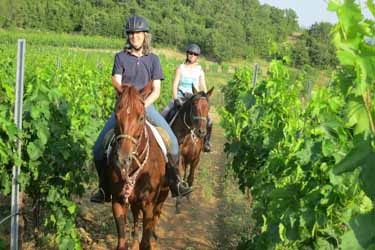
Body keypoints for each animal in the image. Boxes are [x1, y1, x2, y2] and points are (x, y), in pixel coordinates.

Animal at [106, 81, 170, 248]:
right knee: (135, 216)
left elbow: (145, 242)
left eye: (141, 118)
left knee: (157, 214)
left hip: (162, 193)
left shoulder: (148, 205)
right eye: (116, 115)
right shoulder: (118, 201)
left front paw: (148, 239)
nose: (122, 159)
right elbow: (121, 243)